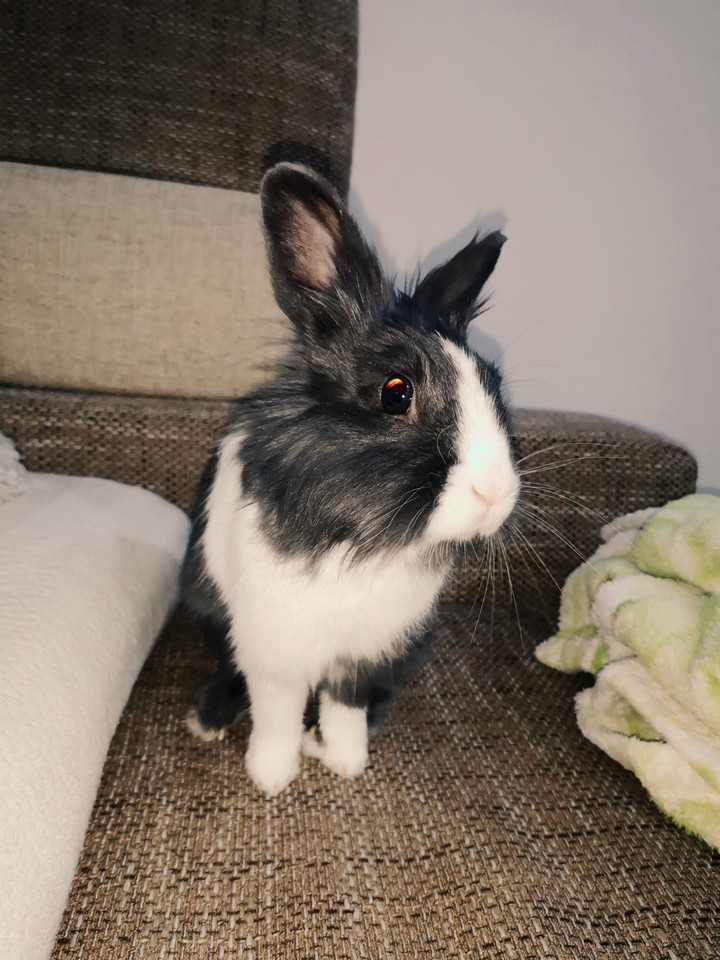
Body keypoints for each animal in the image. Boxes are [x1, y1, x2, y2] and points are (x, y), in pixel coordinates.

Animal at [181, 163, 520, 796]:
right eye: (396, 392)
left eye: (494, 384)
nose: (496, 494)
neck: (365, 537)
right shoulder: (273, 646)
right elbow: (276, 711)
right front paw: (271, 775)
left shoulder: (365, 651)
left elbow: (346, 705)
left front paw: (342, 760)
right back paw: (208, 718)